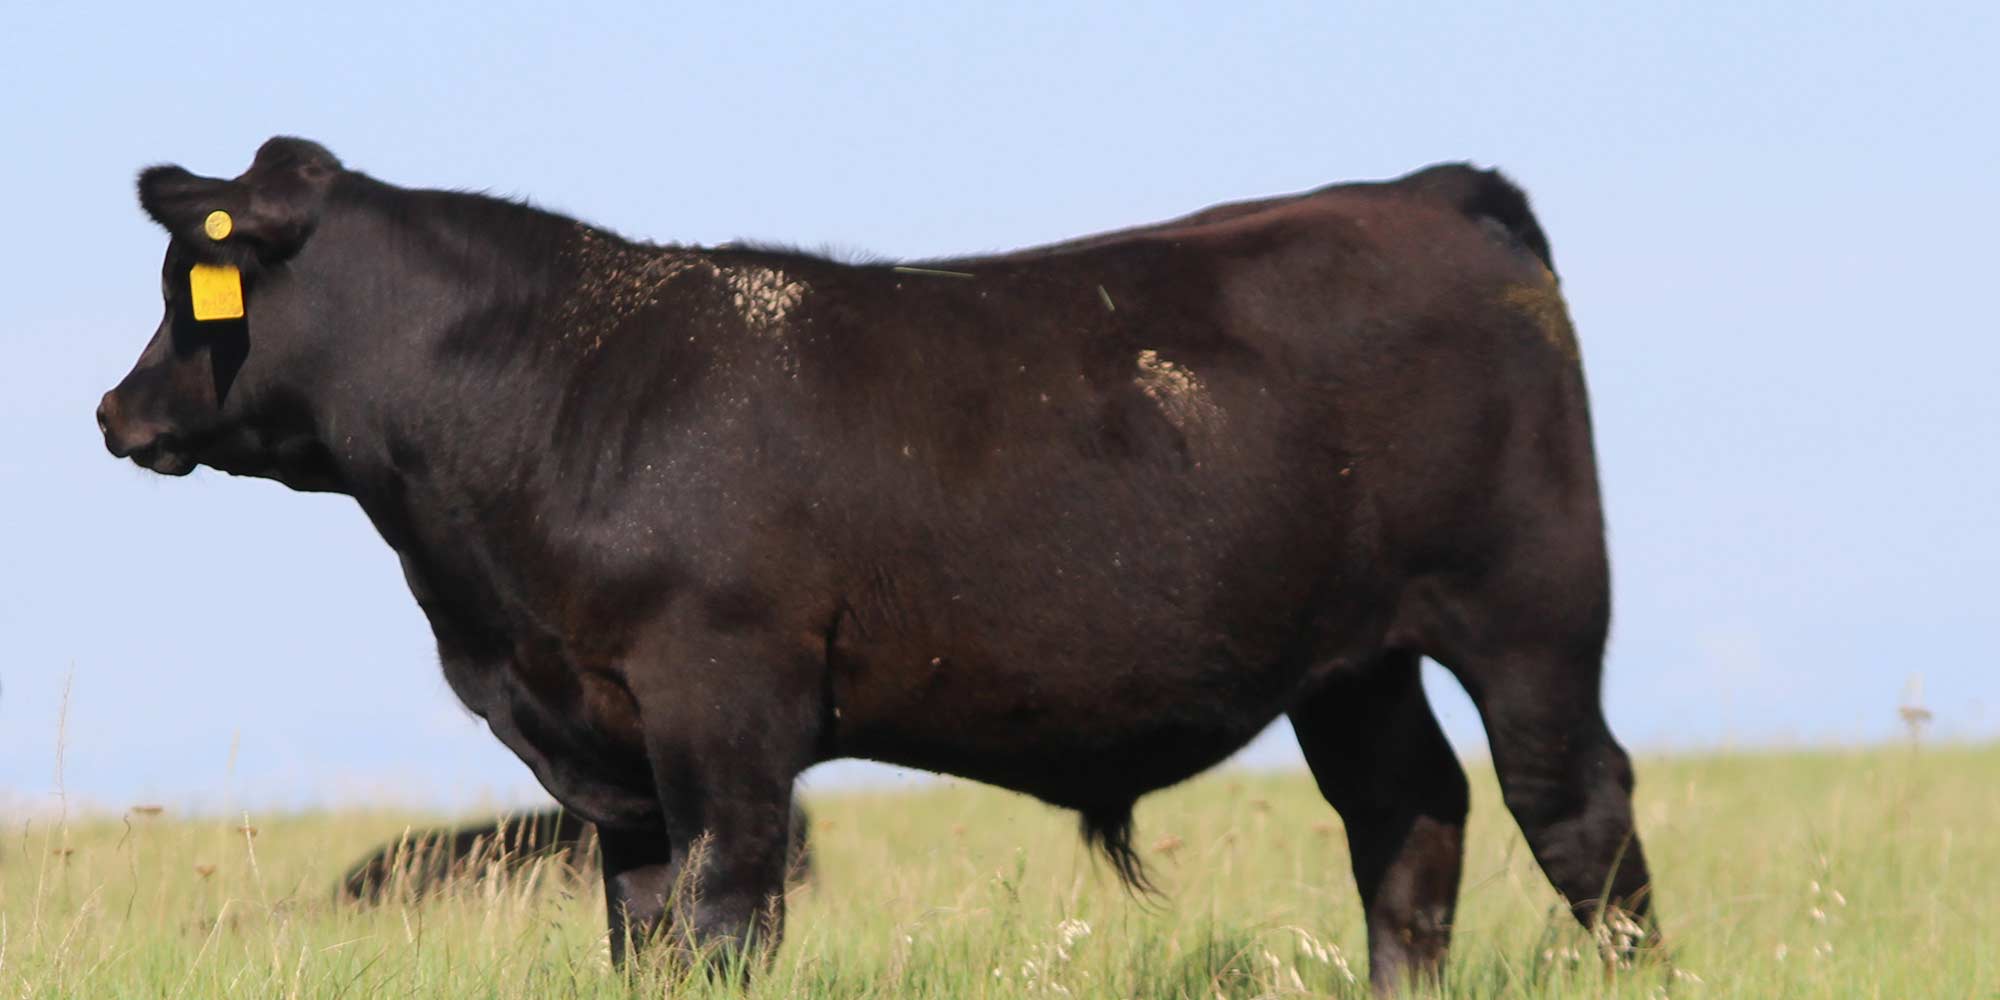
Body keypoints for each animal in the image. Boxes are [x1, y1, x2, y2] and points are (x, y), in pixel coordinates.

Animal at [99, 137, 1656, 989]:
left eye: (192, 287)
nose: (119, 413)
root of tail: (1421, 192)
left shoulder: (724, 705)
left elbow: (724, 916)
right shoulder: (606, 756)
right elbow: (642, 931)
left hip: (1531, 612)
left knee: (1572, 808)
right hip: (1353, 660)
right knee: (1407, 824)